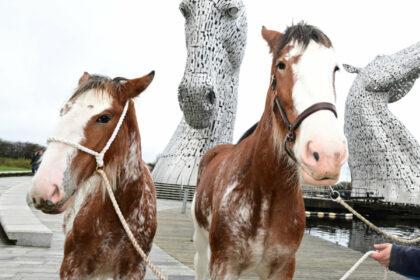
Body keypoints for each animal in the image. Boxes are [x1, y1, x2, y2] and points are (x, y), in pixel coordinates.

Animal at [192, 23, 346, 280]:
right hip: (203, 247)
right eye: (281, 65)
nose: (327, 154)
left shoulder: (283, 267)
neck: (266, 188)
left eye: (335, 69)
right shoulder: (224, 264)